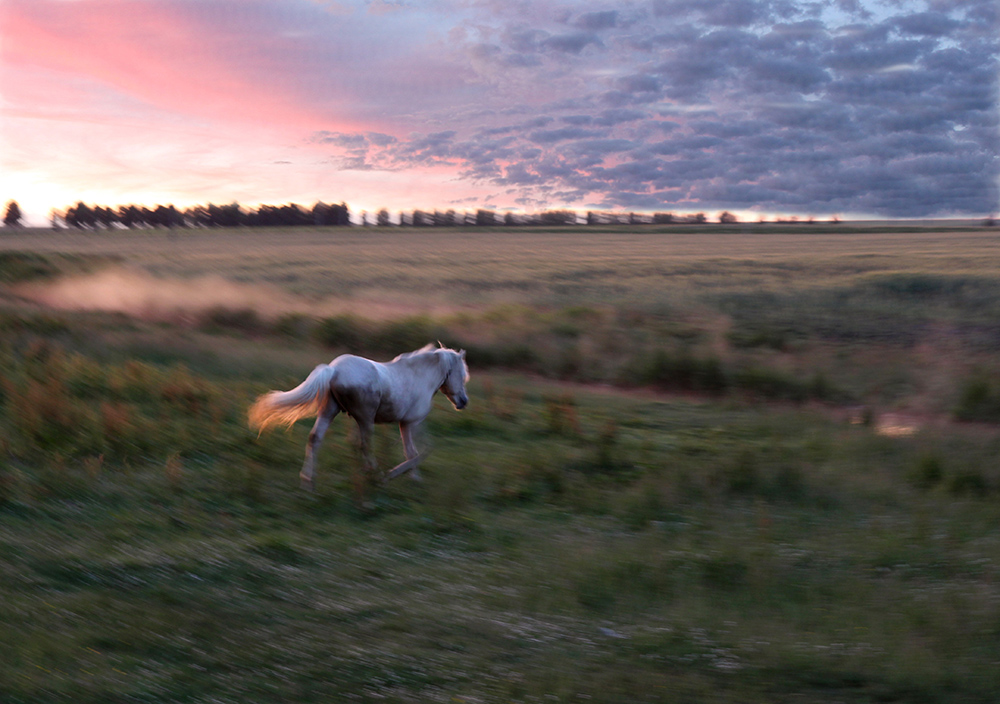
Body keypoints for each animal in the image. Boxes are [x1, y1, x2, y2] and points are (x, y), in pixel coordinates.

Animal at [248, 344, 470, 492]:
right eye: (462, 374)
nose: (463, 401)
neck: (419, 376)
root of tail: (334, 369)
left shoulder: (405, 424)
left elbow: (412, 451)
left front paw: (411, 477)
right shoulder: (410, 423)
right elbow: (418, 451)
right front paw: (409, 477)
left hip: (330, 412)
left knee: (315, 439)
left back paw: (308, 482)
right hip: (365, 418)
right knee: (365, 445)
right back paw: (377, 476)